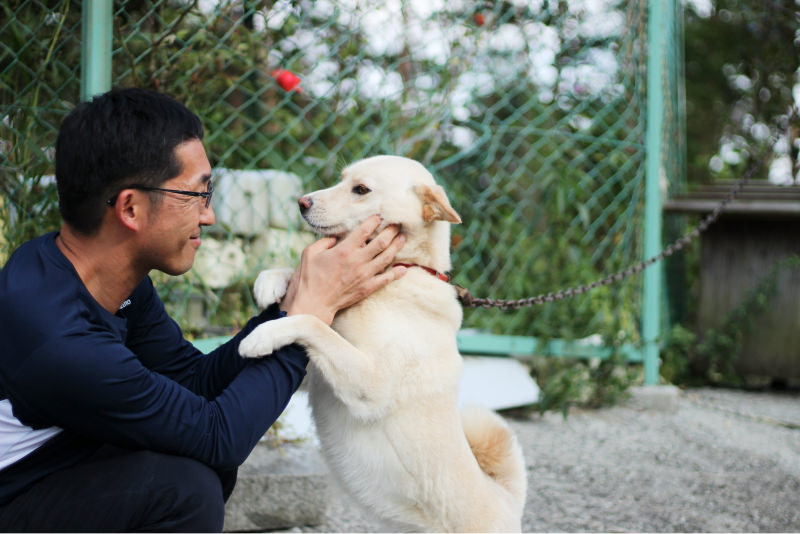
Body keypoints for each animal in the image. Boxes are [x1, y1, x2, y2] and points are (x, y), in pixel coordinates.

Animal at [239, 155, 524, 532]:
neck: (401, 273)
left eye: (361, 189)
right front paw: (271, 282)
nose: (302, 202)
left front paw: (261, 335)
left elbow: (312, 323)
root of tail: (508, 500)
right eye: (341, 179)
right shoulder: (313, 375)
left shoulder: (370, 385)